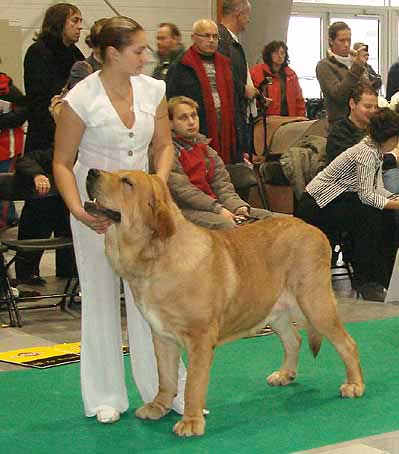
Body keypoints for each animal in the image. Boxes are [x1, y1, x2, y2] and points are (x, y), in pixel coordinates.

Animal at [86, 169, 366, 436]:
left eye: (127, 182)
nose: (91, 172)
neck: (156, 257)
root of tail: (313, 228)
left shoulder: (200, 339)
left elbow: (193, 385)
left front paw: (191, 422)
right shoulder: (162, 336)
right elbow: (165, 377)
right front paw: (159, 406)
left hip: (315, 303)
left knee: (347, 343)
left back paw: (354, 384)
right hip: (274, 310)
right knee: (293, 339)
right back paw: (284, 374)